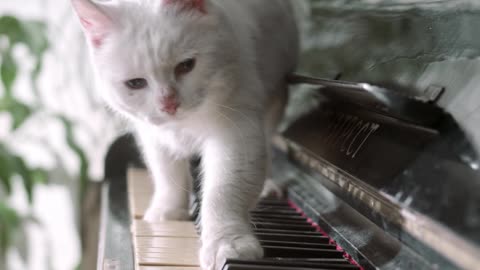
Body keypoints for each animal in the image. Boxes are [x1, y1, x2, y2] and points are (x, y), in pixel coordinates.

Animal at [70, 0, 300, 268]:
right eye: (135, 83)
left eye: (186, 66)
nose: (169, 104)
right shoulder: (154, 137)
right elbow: (167, 175)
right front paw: (168, 212)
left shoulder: (236, 133)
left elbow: (223, 192)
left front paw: (227, 245)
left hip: (275, 99)